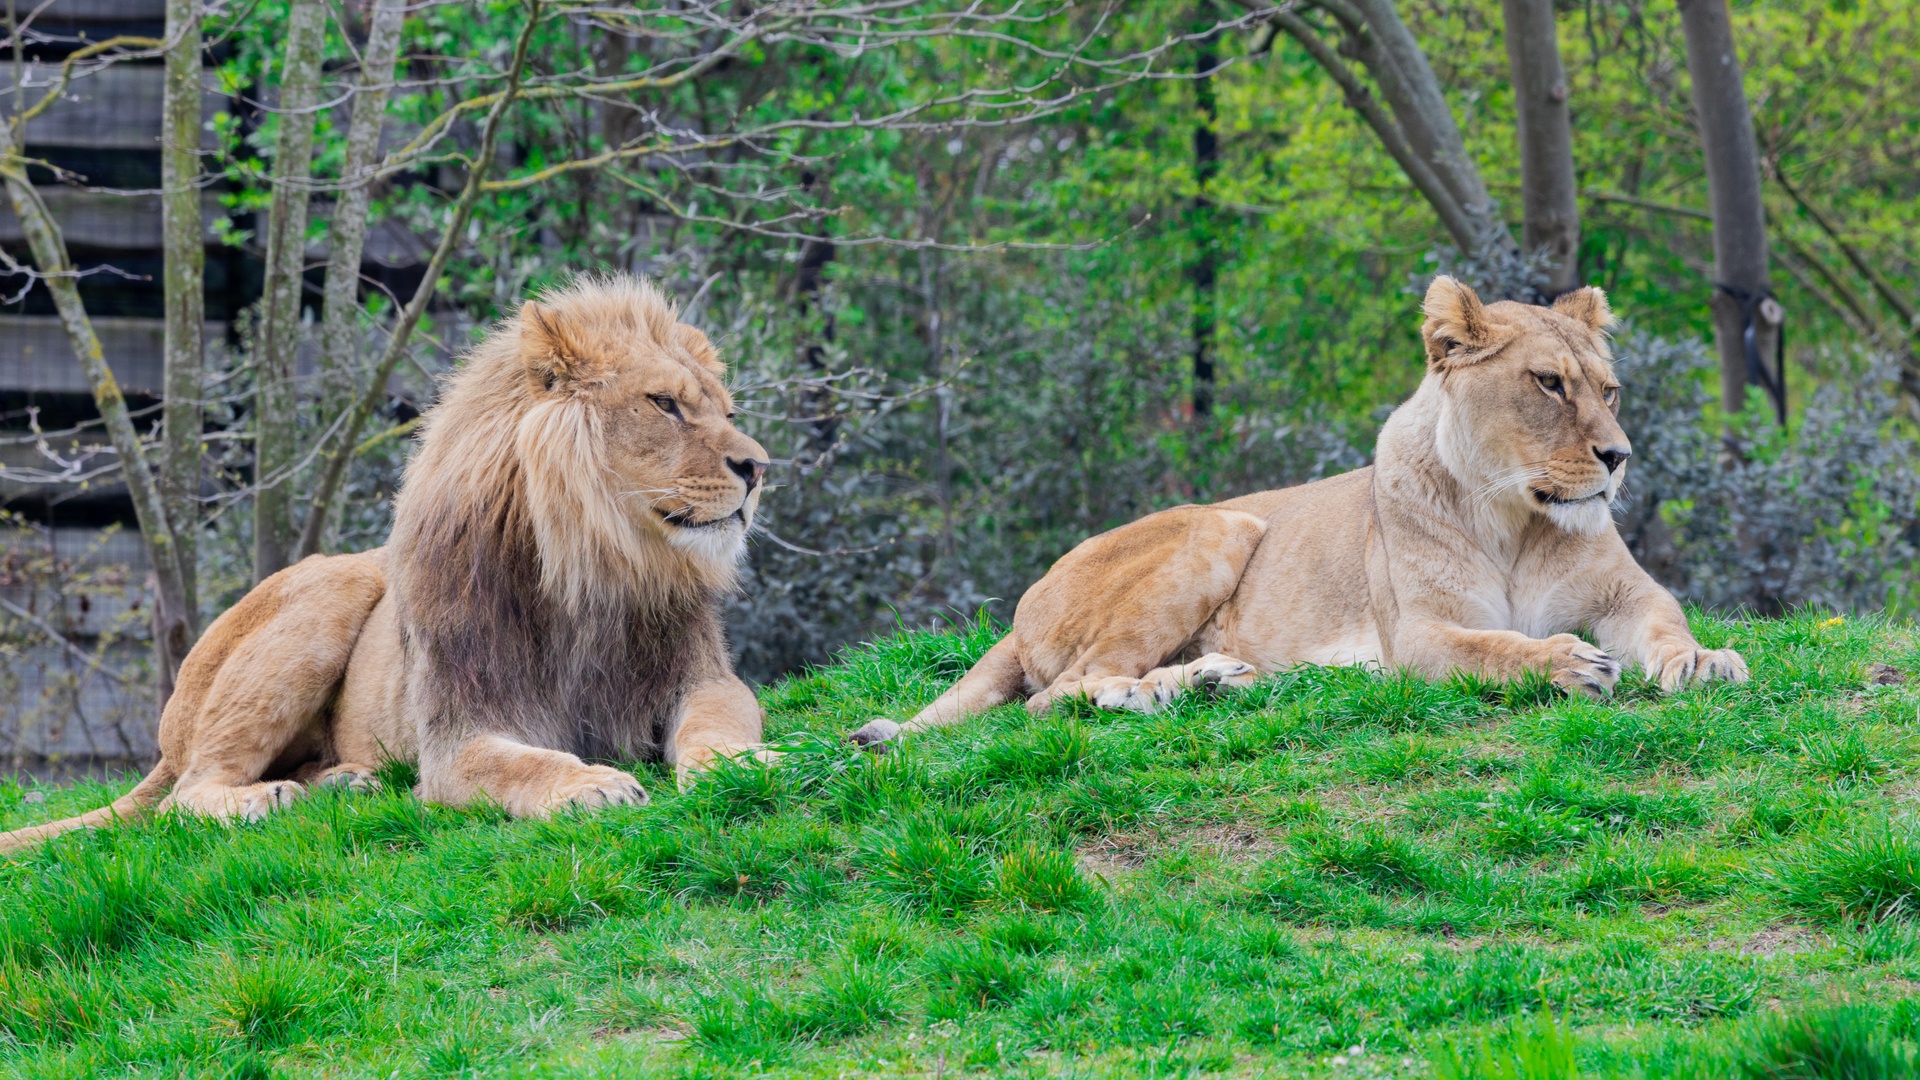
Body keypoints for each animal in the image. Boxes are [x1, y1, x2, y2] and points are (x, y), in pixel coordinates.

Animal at [9, 270, 771, 849]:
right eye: (664, 403)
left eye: (726, 410)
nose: (758, 467)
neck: (594, 571)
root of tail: (168, 738)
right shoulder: (458, 735)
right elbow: (523, 767)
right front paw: (593, 781)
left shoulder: (703, 678)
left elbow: (718, 725)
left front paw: (747, 766)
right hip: (334, 586)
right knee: (184, 796)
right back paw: (264, 799)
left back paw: (345, 781)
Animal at [848, 276, 1751, 749]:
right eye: (1549, 384)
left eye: (1609, 390)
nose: (1619, 456)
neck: (1517, 520)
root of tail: (1021, 607)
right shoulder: (1417, 634)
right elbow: (1495, 647)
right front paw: (1567, 664)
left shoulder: (1627, 595)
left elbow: (1665, 622)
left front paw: (1702, 662)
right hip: (1221, 523)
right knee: (1062, 695)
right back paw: (1171, 689)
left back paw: (1212, 681)